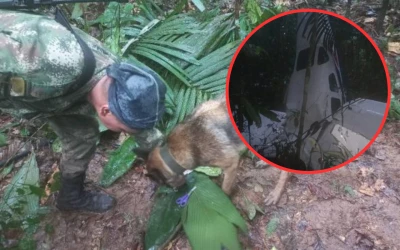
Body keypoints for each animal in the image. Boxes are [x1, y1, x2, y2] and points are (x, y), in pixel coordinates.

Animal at [145, 94, 290, 204]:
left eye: (164, 184)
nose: (177, 191)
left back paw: (276, 193)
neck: (172, 153)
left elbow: (225, 188)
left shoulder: (231, 163)